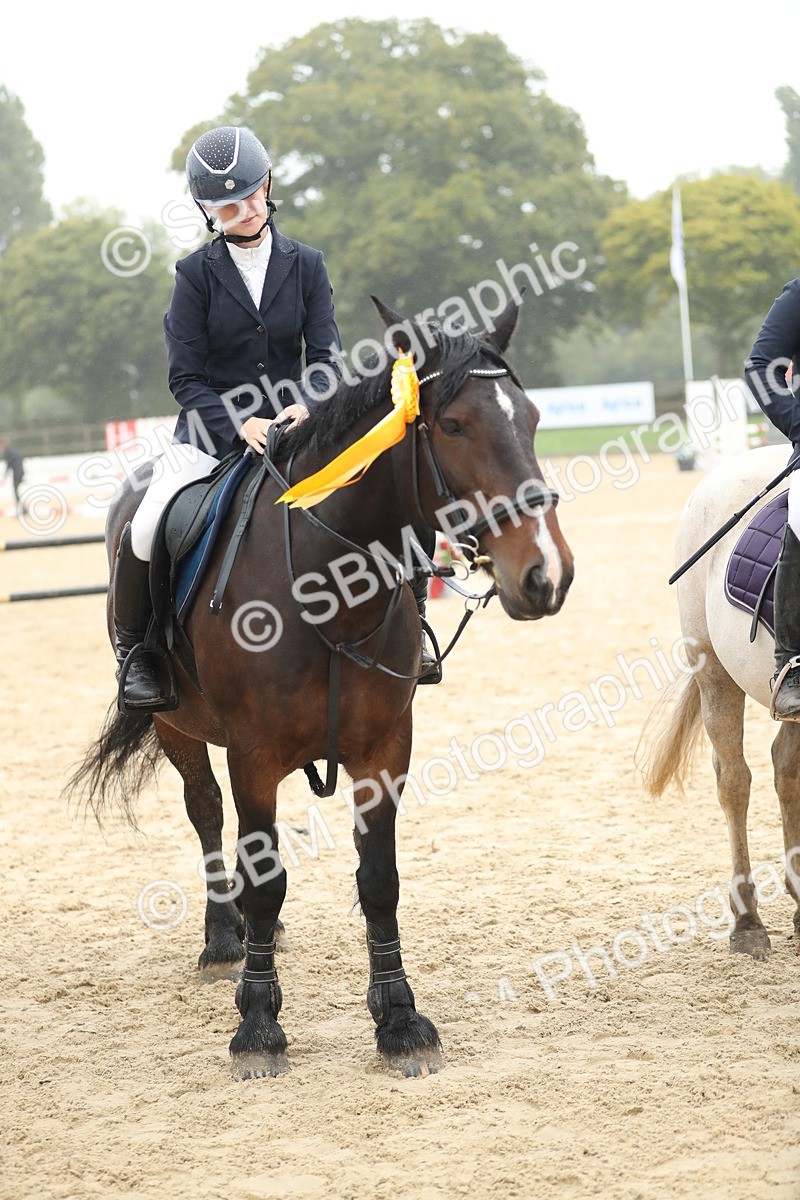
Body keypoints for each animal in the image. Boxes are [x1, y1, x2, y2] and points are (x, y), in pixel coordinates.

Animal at [68, 294, 574, 1078]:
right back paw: (224, 938)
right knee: (205, 812)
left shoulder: (385, 750)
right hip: (177, 724)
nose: (545, 574)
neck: (325, 585)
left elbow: (379, 879)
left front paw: (399, 1019)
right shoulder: (253, 756)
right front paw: (257, 1025)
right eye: (454, 425)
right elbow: (265, 879)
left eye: (532, 418)